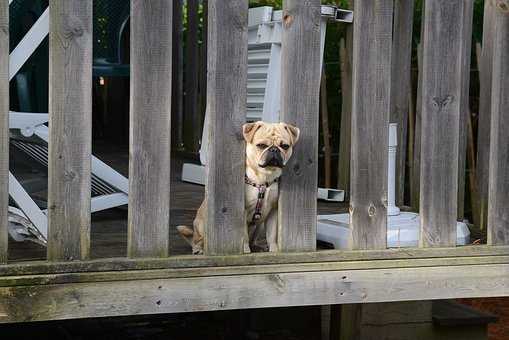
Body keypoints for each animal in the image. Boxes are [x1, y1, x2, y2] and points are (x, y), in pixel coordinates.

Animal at [178, 121, 300, 254]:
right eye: (261, 145)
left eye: (285, 146)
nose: (274, 149)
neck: (264, 178)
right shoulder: (243, 211)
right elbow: (244, 236)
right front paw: (245, 250)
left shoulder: (273, 211)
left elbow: (272, 235)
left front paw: (274, 250)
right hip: (202, 226)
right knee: (198, 240)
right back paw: (198, 249)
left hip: (259, 226)